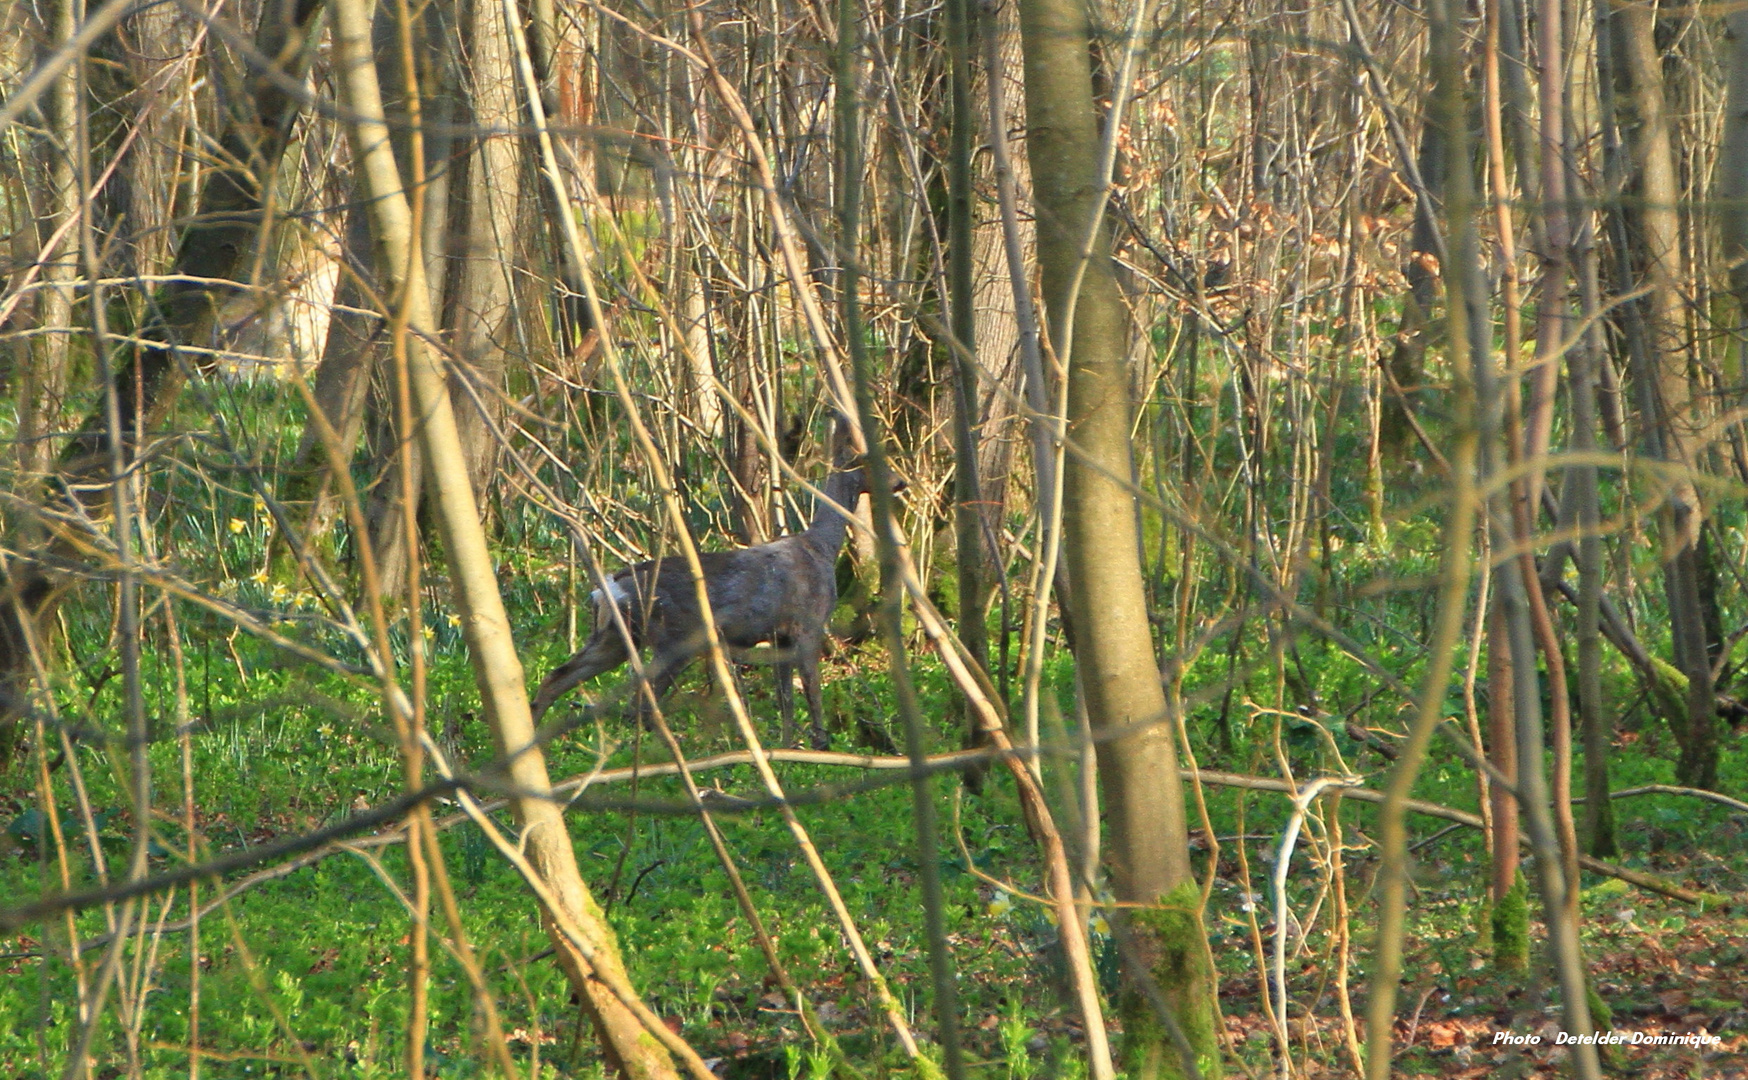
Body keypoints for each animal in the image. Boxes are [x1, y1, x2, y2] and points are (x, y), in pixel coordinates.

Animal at [527, 450, 887, 744]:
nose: (895, 483)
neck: (822, 548)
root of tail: (610, 586)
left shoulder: (780, 636)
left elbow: (785, 697)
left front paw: (787, 746)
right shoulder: (809, 623)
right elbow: (812, 690)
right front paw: (819, 744)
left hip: (614, 636)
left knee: (559, 677)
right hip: (673, 638)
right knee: (640, 700)